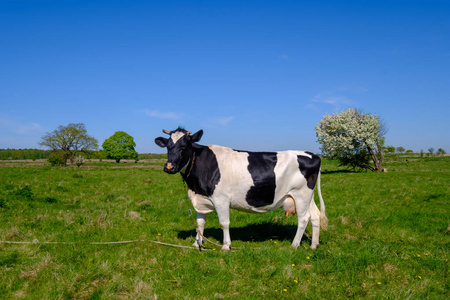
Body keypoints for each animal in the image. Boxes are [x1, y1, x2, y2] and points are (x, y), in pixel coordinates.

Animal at [155, 127, 326, 251]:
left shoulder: (221, 199)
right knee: (315, 216)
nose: (169, 167)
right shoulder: (201, 199)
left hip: (301, 194)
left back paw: (294, 245)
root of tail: (313, 155)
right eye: (168, 147)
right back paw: (313, 245)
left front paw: (225, 246)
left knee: (303, 219)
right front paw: (197, 244)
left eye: (184, 146)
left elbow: (224, 223)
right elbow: (200, 223)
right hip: (307, 197)